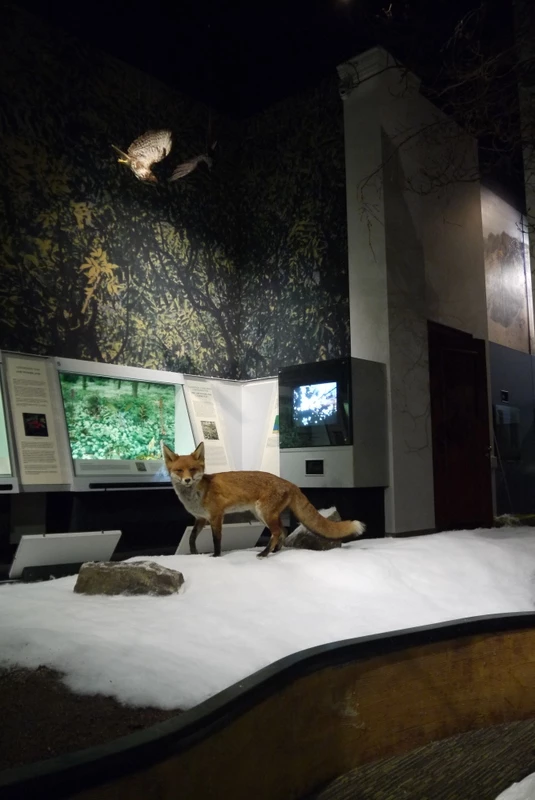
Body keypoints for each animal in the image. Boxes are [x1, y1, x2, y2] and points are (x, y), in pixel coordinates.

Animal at [162, 441, 366, 558]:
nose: (187, 480)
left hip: (264, 513)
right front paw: (193, 553)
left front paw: (216, 555)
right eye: (179, 470)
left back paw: (265, 553)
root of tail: (290, 482)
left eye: (193, 469)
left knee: (276, 532)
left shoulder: (216, 516)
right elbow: (191, 538)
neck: (196, 495)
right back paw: (275, 551)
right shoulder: (200, 518)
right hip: (262, 515)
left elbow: (216, 538)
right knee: (283, 530)